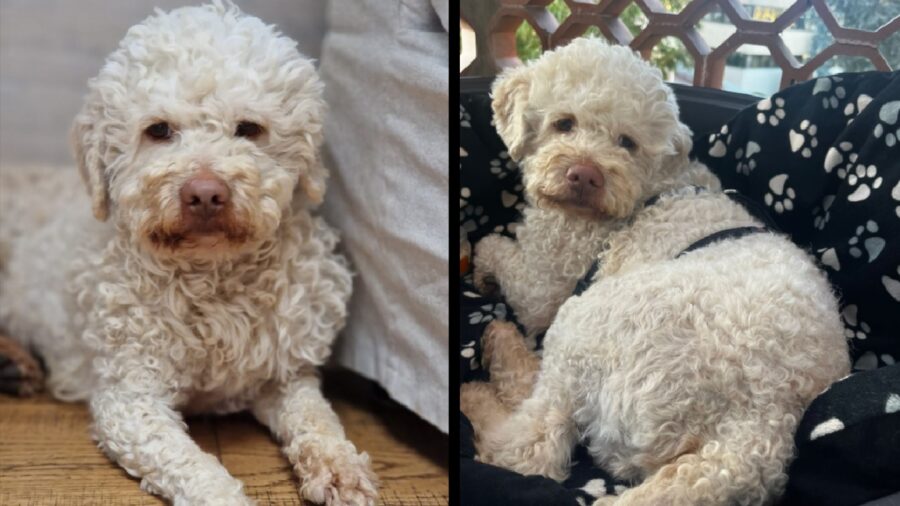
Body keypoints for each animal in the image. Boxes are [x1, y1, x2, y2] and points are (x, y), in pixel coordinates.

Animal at [0, 1, 376, 504]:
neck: (213, 282)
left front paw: (340, 469)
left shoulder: (285, 378)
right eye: (158, 130)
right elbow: (196, 470)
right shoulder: (131, 399)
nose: (205, 193)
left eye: (249, 129)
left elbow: (318, 420)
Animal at [464, 39, 852, 506]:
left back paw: (486, 374)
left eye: (627, 142)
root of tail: (754, 429)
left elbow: (496, 252)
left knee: (531, 446)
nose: (585, 175)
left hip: (587, 328)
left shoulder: (543, 281)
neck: (652, 189)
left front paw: (483, 264)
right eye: (564, 123)